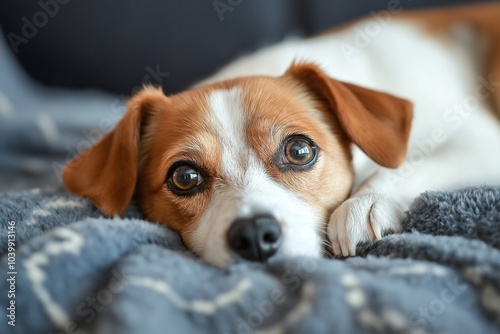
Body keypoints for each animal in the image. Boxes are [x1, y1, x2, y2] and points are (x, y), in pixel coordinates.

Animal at [61, 3, 500, 266]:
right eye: (184, 176)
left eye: (299, 151)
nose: (255, 235)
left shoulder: (481, 141)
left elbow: (409, 165)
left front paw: (365, 204)